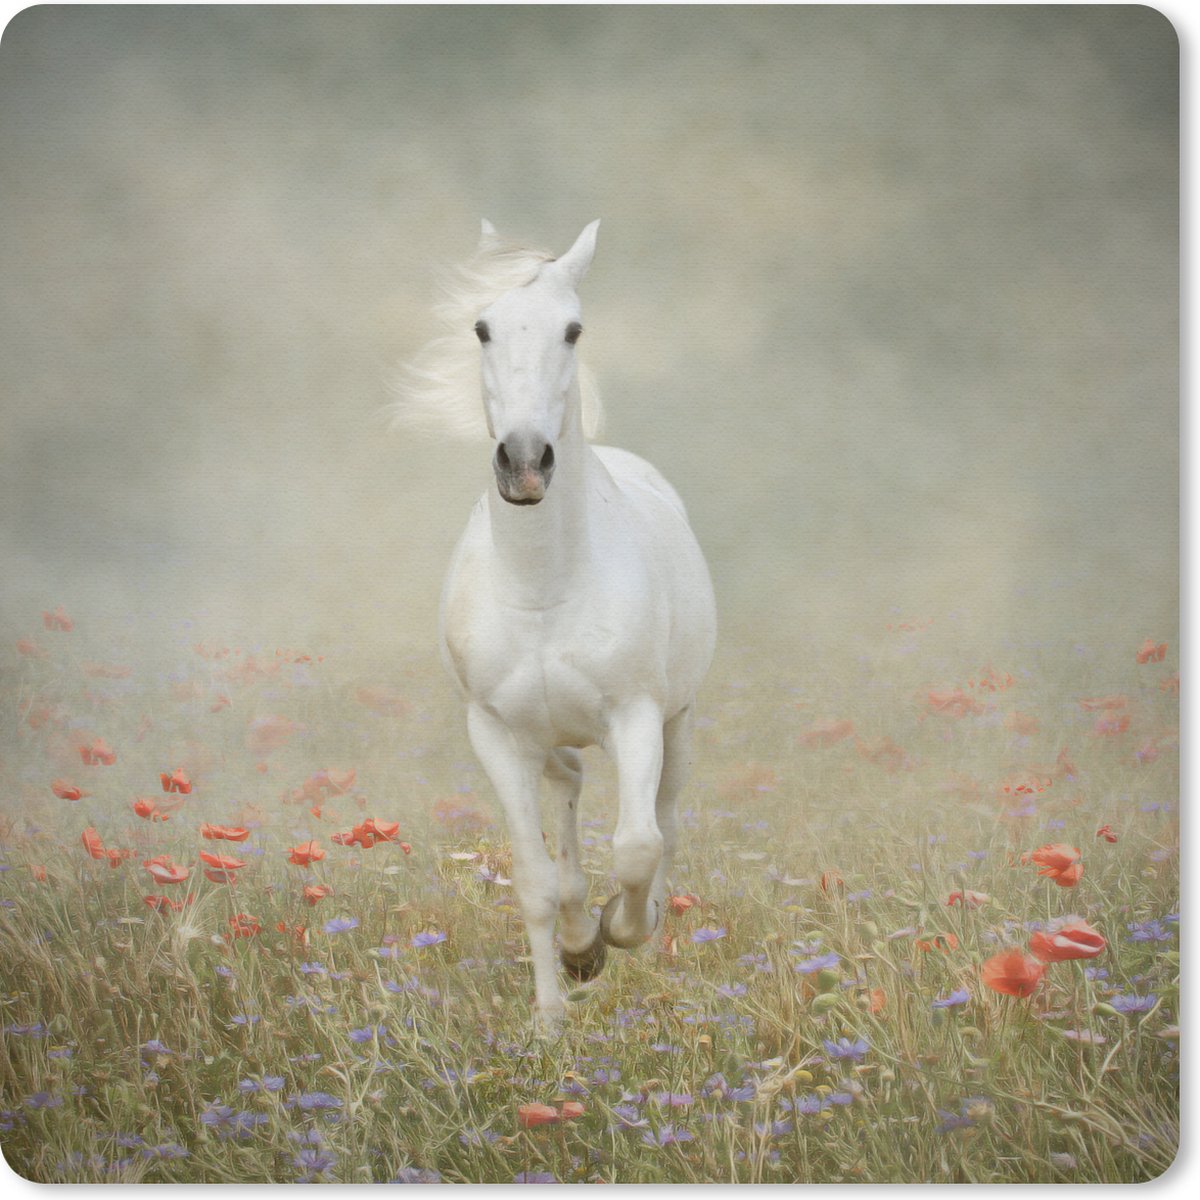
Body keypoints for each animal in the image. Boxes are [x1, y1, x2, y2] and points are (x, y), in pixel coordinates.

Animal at [399, 220, 716, 1035]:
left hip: (678, 724)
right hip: (545, 737)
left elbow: (637, 846)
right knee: (568, 790)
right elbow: (535, 879)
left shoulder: (635, 716)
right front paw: (556, 998)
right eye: (481, 328)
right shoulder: (494, 734)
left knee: (666, 819)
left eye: (573, 329)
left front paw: (621, 932)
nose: (524, 461)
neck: (544, 589)